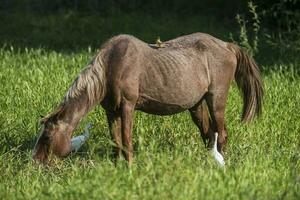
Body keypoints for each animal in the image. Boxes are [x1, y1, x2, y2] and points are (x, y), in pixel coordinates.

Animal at [32, 32, 262, 164]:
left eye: (47, 137)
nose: (35, 161)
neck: (110, 67)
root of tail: (228, 45)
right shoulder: (111, 110)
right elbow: (116, 140)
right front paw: (116, 166)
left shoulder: (127, 106)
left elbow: (126, 139)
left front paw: (130, 168)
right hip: (196, 105)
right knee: (208, 133)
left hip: (216, 99)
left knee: (221, 133)